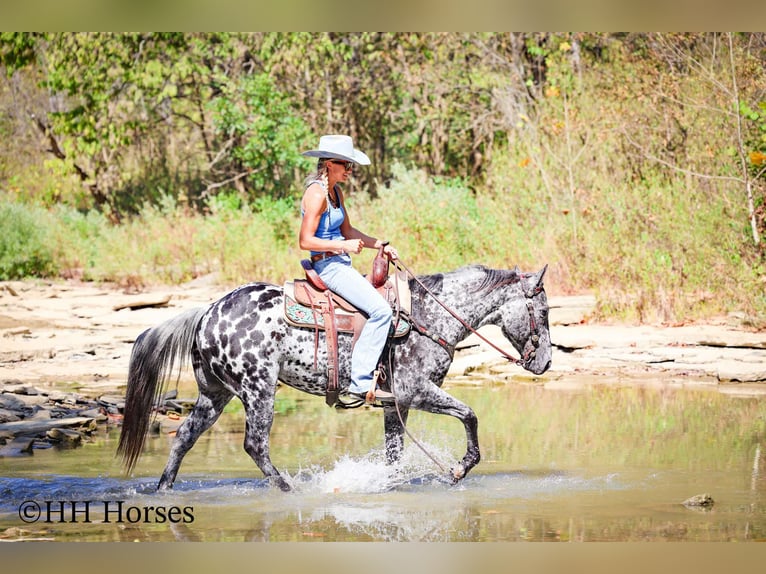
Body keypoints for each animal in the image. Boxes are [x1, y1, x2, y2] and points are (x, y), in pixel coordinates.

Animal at [117, 263, 552, 491]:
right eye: (545, 312)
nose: (545, 363)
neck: (428, 316)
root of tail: (207, 312)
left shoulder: (396, 405)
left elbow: (394, 454)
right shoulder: (416, 392)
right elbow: (470, 415)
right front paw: (460, 468)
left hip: (215, 395)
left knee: (184, 437)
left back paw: (164, 490)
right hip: (259, 390)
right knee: (255, 445)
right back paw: (289, 489)